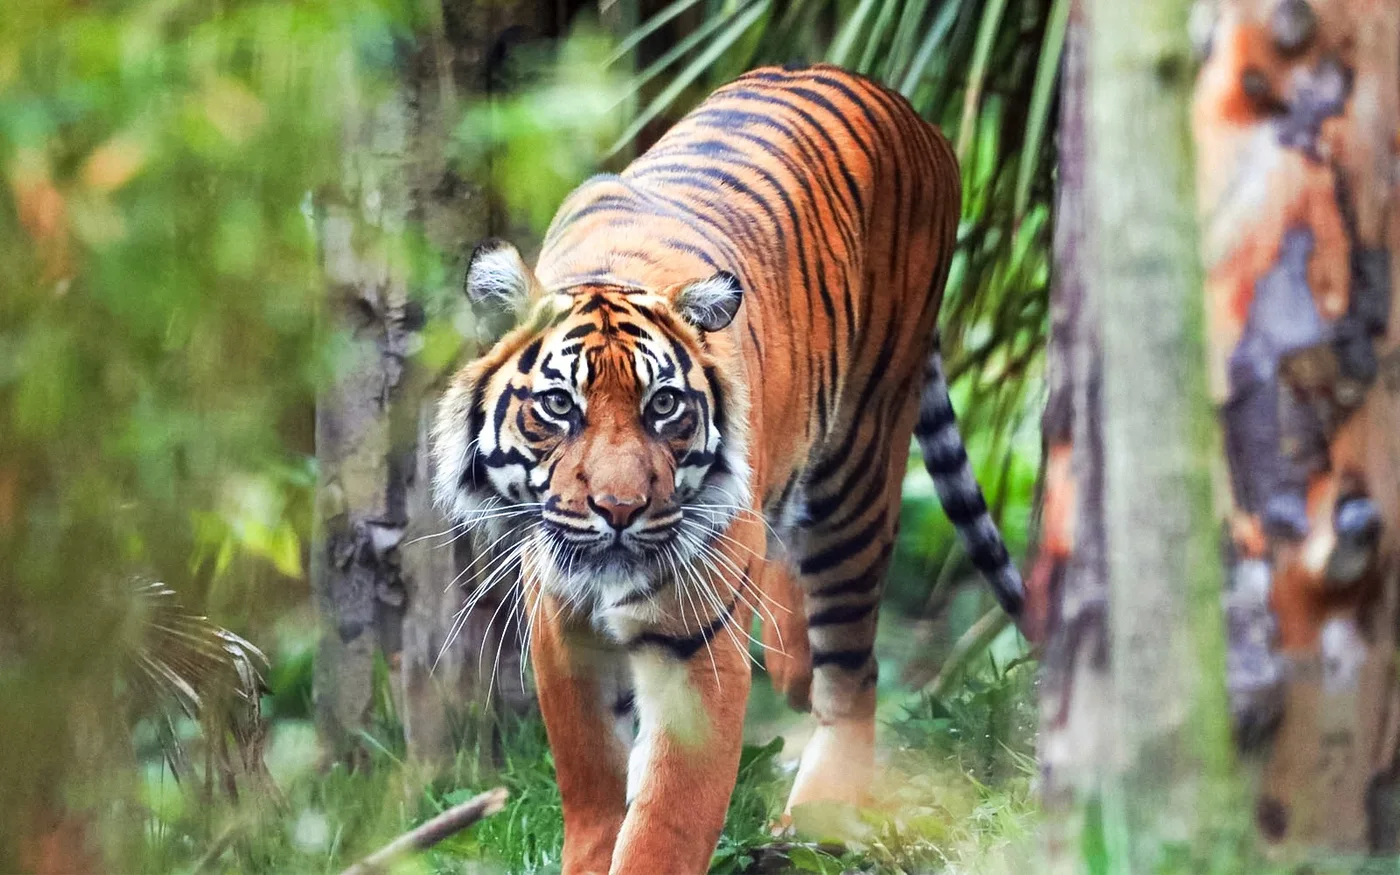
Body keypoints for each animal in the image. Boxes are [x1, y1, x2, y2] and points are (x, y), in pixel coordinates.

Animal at [432, 63, 1024, 875]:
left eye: (663, 406)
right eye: (558, 405)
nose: (618, 509)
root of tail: (903, 106)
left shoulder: (695, 654)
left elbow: (664, 826)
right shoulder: (563, 632)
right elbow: (590, 787)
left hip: (859, 465)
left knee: (853, 671)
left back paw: (815, 822)